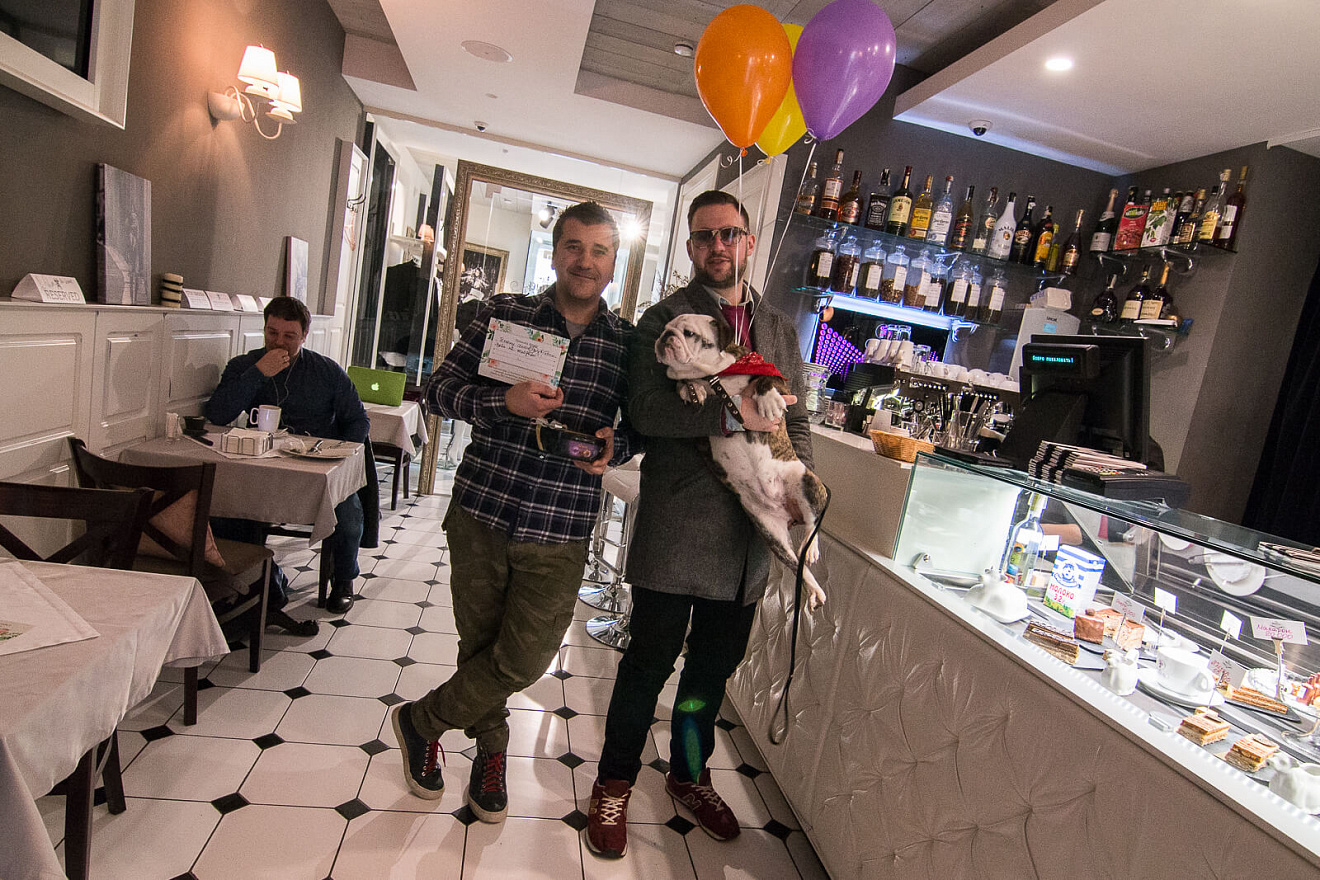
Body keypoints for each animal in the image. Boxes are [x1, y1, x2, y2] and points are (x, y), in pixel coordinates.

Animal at [654, 313, 828, 610]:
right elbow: (682, 385)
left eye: (688, 333)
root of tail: (785, 509)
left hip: (807, 482)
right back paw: (813, 588)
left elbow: (765, 381)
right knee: (798, 566)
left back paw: (811, 546)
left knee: (812, 525)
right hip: (771, 533)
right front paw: (691, 390)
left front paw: (768, 401)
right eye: (665, 328)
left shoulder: (777, 377)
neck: (713, 374)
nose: (666, 336)